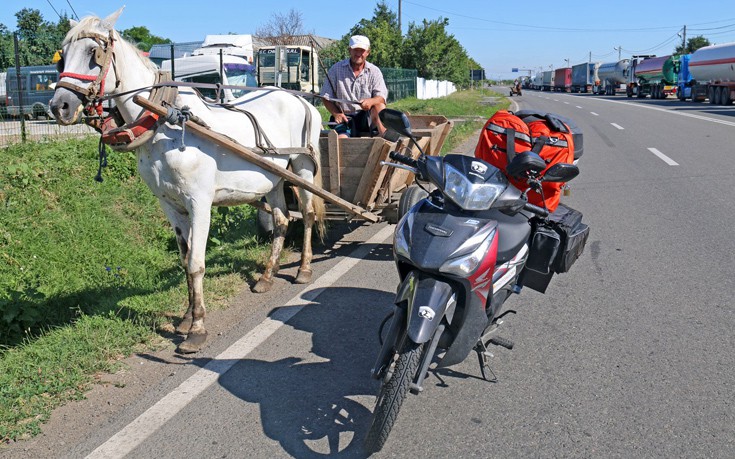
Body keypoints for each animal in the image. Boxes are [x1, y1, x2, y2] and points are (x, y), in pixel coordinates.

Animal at [50, 7, 326, 354]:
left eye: (93, 53)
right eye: (62, 56)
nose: (59, 106)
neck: (166, 121)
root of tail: (302, 100)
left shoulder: (200, 202)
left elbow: (196, 262)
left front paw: (196, 328)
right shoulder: (170, 205)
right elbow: (184, 260)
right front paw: (185, 317)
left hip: (302, 169)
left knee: (308, 215)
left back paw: (304, 269)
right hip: (274, 179)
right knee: (281, 221)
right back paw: (266, 276)